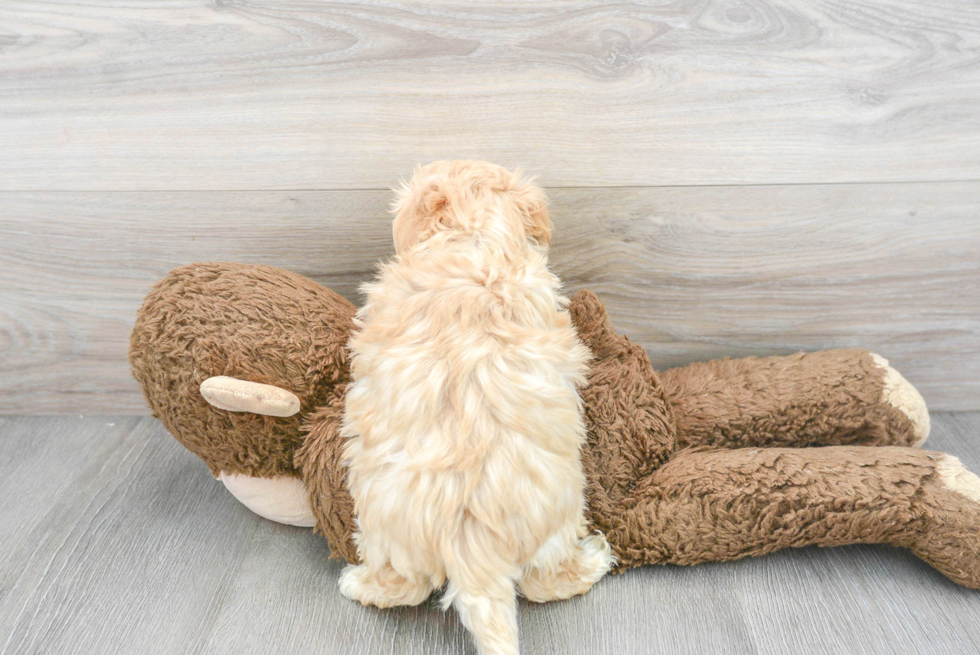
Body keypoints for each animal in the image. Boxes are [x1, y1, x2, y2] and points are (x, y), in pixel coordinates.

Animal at [340, 160, 608, 655]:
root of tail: (471, 536)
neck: (474, 233)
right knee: (542, 581)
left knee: (405, 585)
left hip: (383, 524)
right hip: (550, 519)